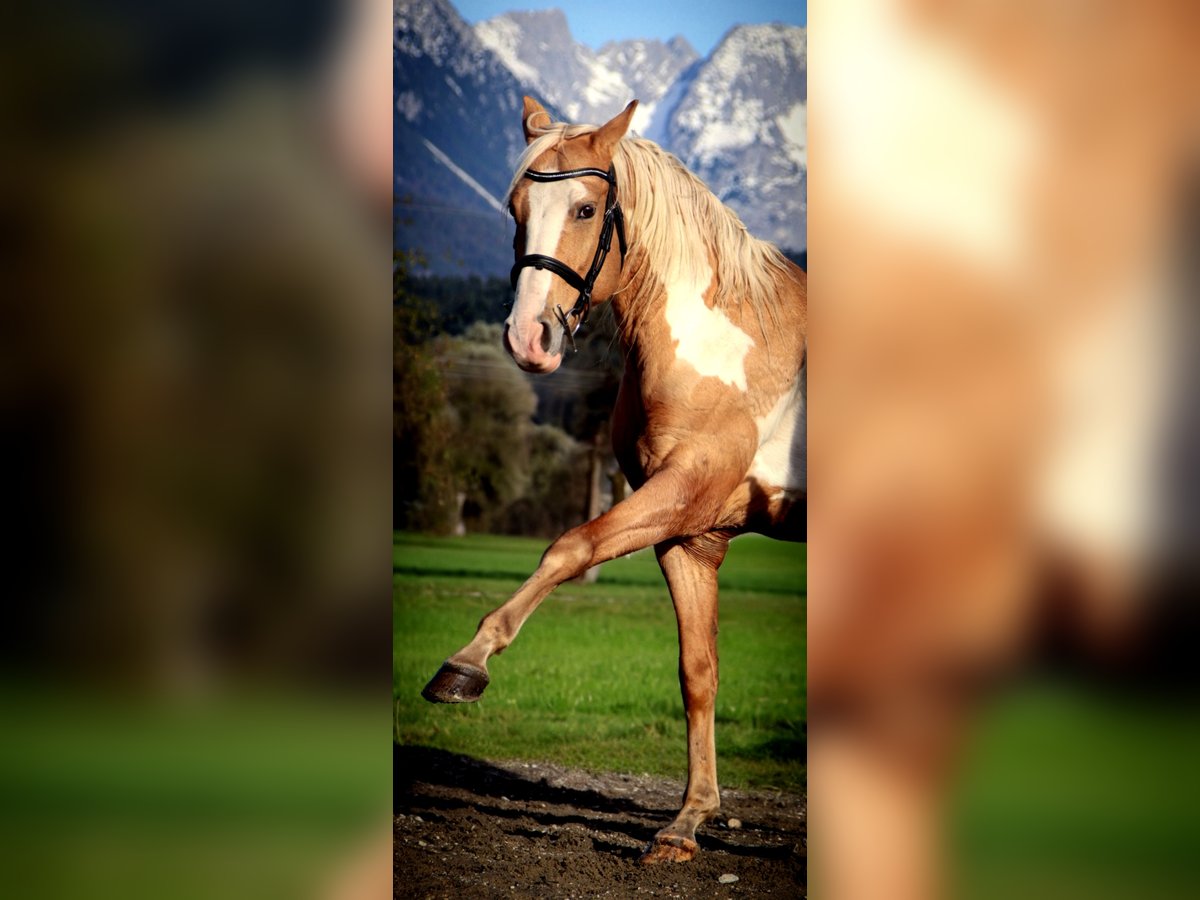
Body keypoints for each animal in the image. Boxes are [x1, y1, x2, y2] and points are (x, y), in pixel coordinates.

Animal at [422, 95, 807, 865]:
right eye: (515, 207)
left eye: (586, 209)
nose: (528, 339)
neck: (720, 346)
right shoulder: (692, 534)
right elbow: (698, 671)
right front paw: (688, 821)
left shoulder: (681, 493)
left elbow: (569, 547)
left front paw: (467, 663)